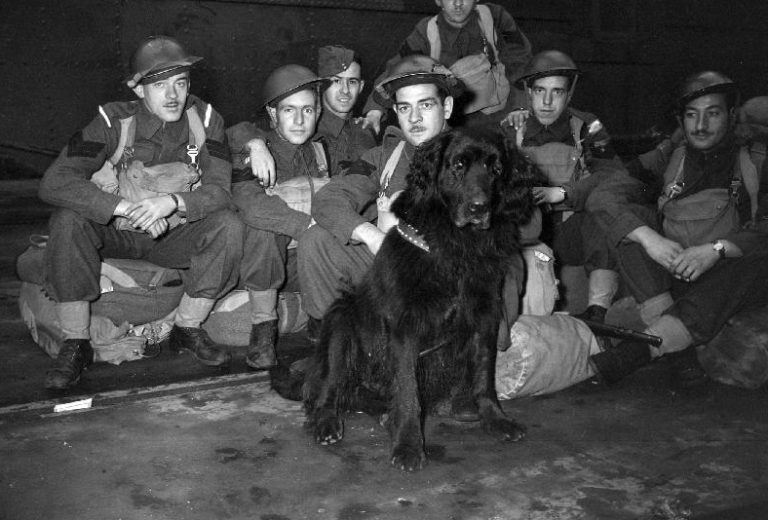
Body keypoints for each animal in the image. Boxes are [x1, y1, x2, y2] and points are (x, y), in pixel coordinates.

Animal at [300, 127, 536, 472]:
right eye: (458, 165)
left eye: (496, 169)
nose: (479, 208)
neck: (459, 246)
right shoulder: (406, 324)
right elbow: (408, 389)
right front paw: (409, 446)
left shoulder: (485, 315)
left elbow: (484, 375)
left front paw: (495, 419)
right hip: (342, 320)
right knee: (329, 387)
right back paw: (328, 422)